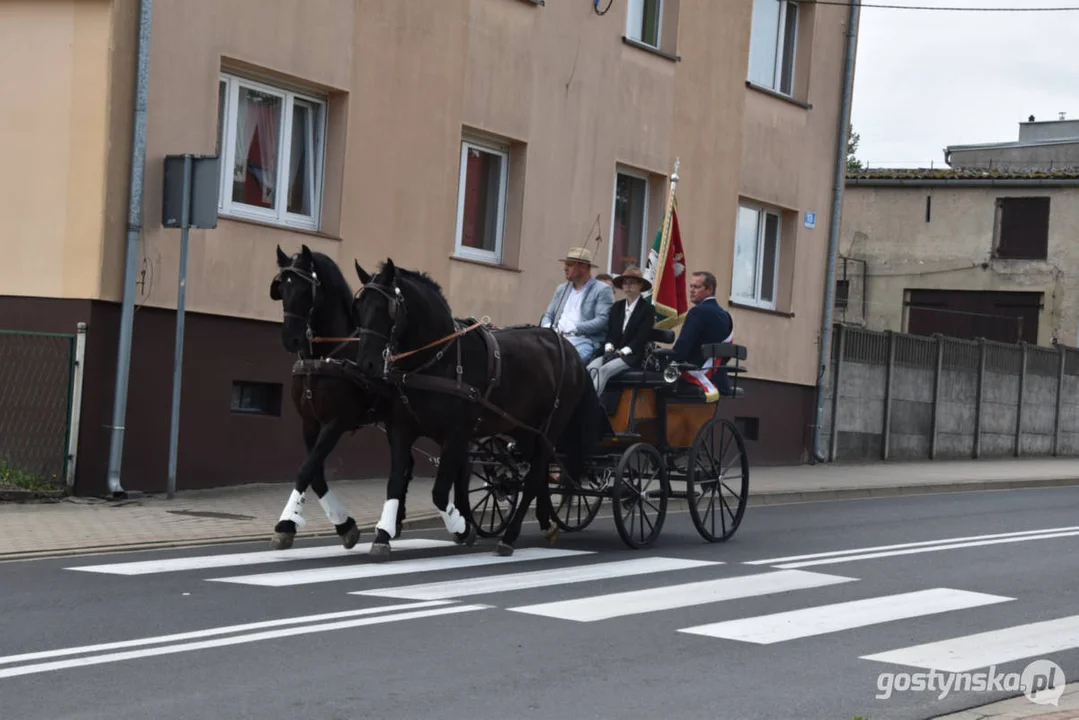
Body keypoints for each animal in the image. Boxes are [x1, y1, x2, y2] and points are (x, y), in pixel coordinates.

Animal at [268, 246, 412, 552]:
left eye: (305, 290)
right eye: (281, 289)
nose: (290, 339)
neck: (326, 356)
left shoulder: (336, 423)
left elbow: (305, 470)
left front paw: (285, 525)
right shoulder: (310, 424)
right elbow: (315, 474)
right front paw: (345, 525)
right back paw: (395, 522)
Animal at [353, 259, 608, 557]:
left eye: (389, 309)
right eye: (360, 306)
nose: (366, 364)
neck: (439, 360)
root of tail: (570, 350)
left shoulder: (456, 435)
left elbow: (440, 492)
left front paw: (463, 527)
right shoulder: (402, 430)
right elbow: (395, 483)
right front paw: (383, 535)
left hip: (551, 427)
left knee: (534, 480)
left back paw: (509, 537)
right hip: (525, 430)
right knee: (540, 476)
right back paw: (547, 525)